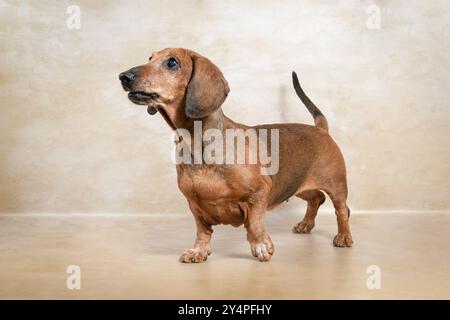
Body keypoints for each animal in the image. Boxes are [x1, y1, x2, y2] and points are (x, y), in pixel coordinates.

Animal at [119, 48, 352, 262]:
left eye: (172, 62)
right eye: (150, 58)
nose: (123, 76)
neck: (198, 143)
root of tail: (320, 128)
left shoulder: (259, 193)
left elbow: (255, 225)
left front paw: (261, 246)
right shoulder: (194, 204)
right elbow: (203, 231)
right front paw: (199, 251)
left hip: (336, 185)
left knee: (342, 210)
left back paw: (343, 236)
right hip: (295, 184)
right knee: (316, 198)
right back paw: (305, 224)